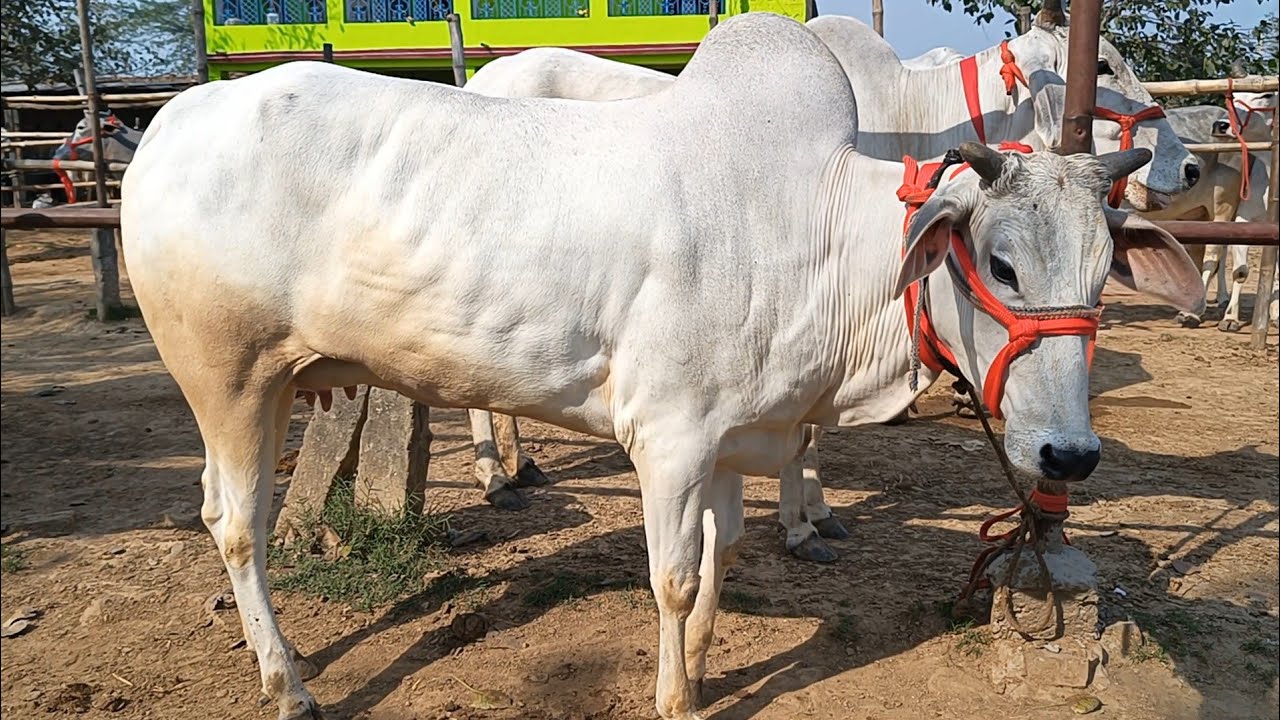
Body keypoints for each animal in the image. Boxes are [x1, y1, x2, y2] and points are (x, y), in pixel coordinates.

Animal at [461, 7, 1201, 562]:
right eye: (1101, 65)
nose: (1189, 168)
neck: (903, 114)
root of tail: (486, 74)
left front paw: (812, 515)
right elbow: (809, 432)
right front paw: (803, 522)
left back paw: (520, 463)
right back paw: (495, 476)